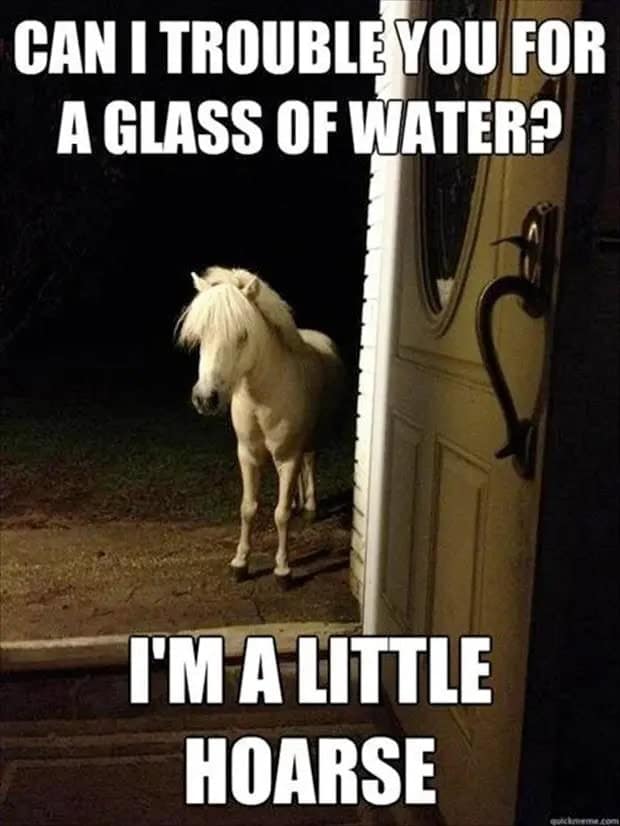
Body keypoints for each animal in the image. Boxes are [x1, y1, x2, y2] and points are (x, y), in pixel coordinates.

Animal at [176, 266, 345, 587]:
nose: (205, 399)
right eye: (200, 335)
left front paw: (283, 570)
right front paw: (240, 563)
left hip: (309, 439)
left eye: (242, 335)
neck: (262, 397)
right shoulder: (248, 455)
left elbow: (280, 515)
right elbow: (248, 508)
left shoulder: (287, 457)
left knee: (309, 461)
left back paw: (309, 507)